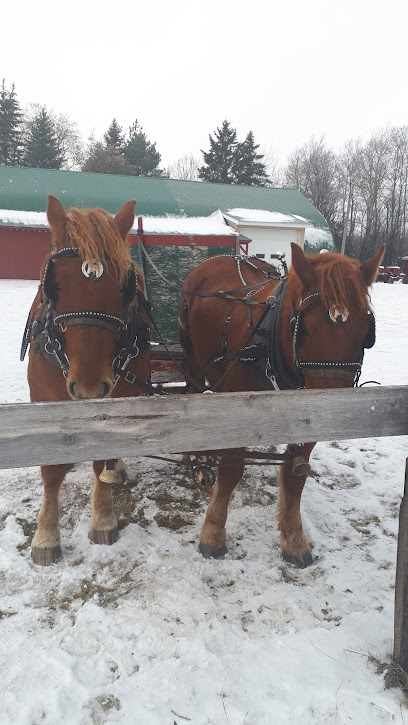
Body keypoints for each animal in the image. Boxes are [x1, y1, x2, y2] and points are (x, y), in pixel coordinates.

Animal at [22, 197, 150, 564]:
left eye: (124, 287)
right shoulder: (44, 401)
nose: (90, 387)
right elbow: (50, 473)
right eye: (54, 284)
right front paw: (46, 535)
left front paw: (103, 519)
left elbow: (100, 457)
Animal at [178, 242, 382, 564]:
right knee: (192, 393)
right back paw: (196, 458)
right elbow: (232, 470)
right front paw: (212, 533)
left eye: (367, 333)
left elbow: (295, 474)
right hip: (193, 358)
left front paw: (294, 538)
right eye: (305, 328)